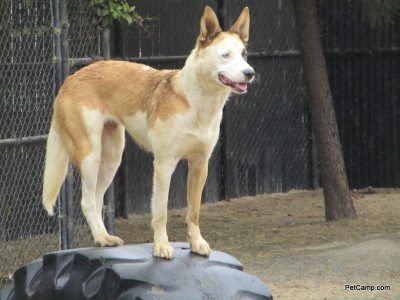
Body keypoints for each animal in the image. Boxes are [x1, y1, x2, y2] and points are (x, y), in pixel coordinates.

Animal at [43, 6, 253, 260]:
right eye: (225, 55)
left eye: (243, 54)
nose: (250, 73)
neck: (199, 104)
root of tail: (70, 78)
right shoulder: (164, 164)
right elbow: (161, 211)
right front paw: (161, 246)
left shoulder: (200, 164)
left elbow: (194, 212)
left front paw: (196, 243)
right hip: (90, 156)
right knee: (87, 201)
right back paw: (102, 238)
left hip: (112, 158)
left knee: (97, 198)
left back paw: (105, 237)